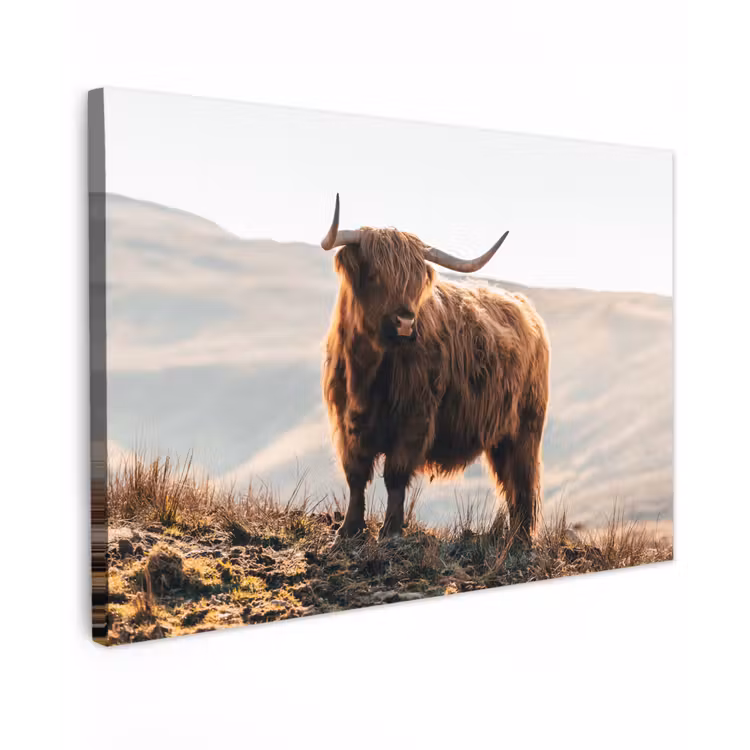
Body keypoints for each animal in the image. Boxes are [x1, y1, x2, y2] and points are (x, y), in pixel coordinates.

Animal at [321, 195, 550, 542]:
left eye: (416, 281)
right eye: (375, 275)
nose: (405, 322)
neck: (368, 370)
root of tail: (525, 307)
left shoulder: (414, 418)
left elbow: (395, 475)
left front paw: (390, 531)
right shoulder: (348, 422)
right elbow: (356, 476)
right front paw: (348, 530)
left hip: (525, 428)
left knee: (522, 483)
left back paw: (520, 540)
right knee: (511, 484)